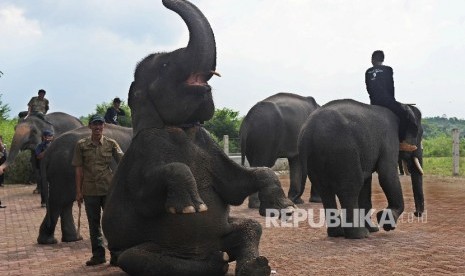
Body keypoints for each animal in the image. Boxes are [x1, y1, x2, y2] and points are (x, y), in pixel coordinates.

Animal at [101, 0, 294, 276]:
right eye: (165, 66)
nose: (164, 2)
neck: (181, 128)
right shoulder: (145, 150)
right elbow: (146, 199)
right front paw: (191, 207)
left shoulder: (208, 144)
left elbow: (235, 186)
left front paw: (283, 208)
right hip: (130, 251)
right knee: (136, 258)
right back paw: (216, 263)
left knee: (250, 227)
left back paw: (255, 266)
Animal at [296, 99, 422, 239]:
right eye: (419, 133)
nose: (417, 214)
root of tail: (310, 130)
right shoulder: (389, 138)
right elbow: (386, 174)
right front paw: (386, 224)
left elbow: (367, 182)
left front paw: (374, 229)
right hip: (344, 150)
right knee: (351, 188)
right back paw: (360, 235)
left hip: (312, 156)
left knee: (325, 190)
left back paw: (337, 234)